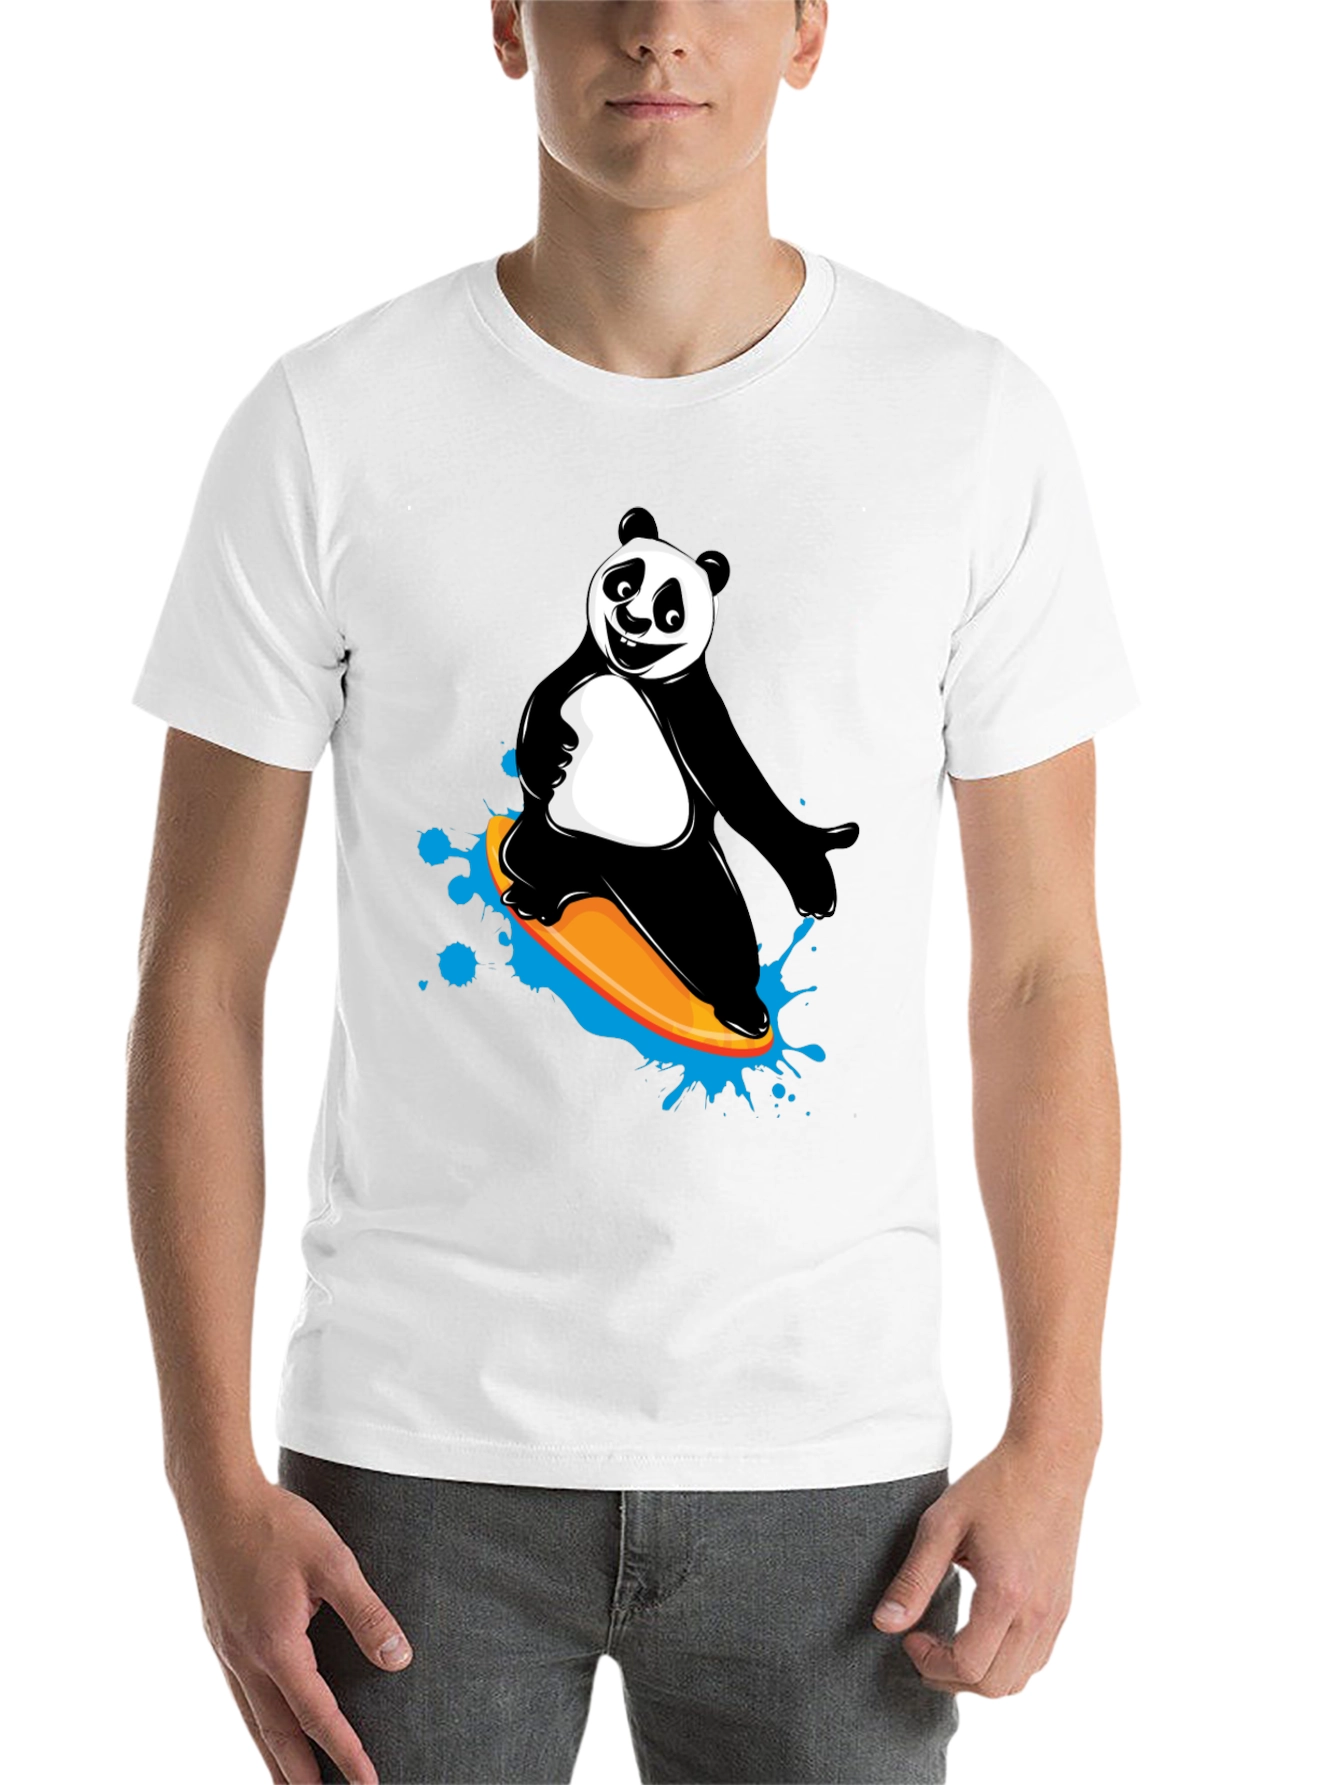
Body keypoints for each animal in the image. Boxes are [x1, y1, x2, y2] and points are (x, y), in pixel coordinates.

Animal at [499, 506, 859, 1041]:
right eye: (624, 585)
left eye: (672, 614)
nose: (632, 620)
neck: (627, 675)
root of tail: (602, 883)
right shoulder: (580, 672)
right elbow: (543, 706)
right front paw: (547, 760)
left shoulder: (691, 709)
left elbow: (738, 785)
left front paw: (809, 870)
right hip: (558, 836)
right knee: (528, 854)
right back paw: (536, 895)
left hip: (676, 872)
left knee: (716, 934)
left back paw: (741, 1007)